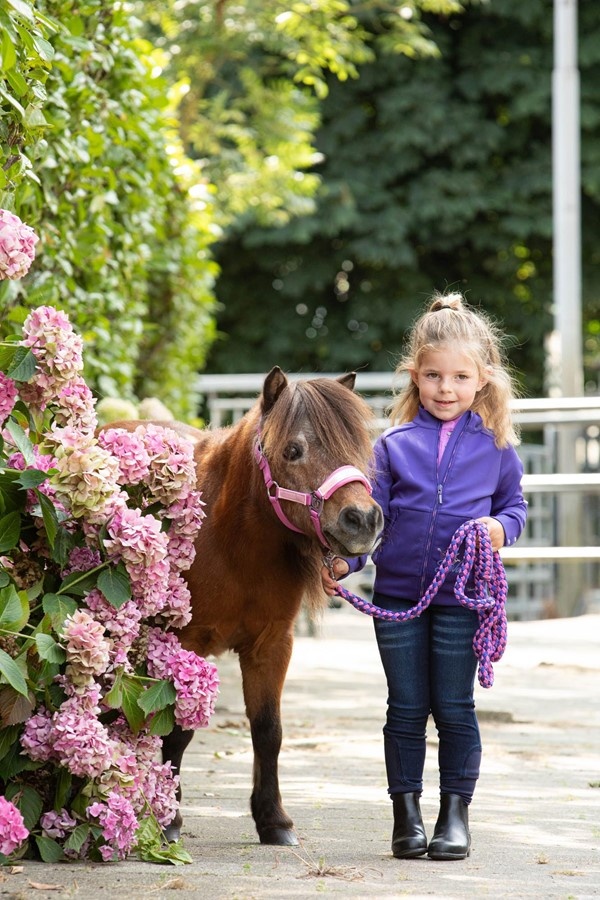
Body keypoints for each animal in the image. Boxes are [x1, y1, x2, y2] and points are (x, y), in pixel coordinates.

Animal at [106, 366, 383, 845]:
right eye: (293, 450)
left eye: (359, 448)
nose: (362, 519)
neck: (232, 544)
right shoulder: (186, 644)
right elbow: (177, 732)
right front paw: (169, 818)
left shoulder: (270, 647)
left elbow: (268, 731)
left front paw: (273, 820)